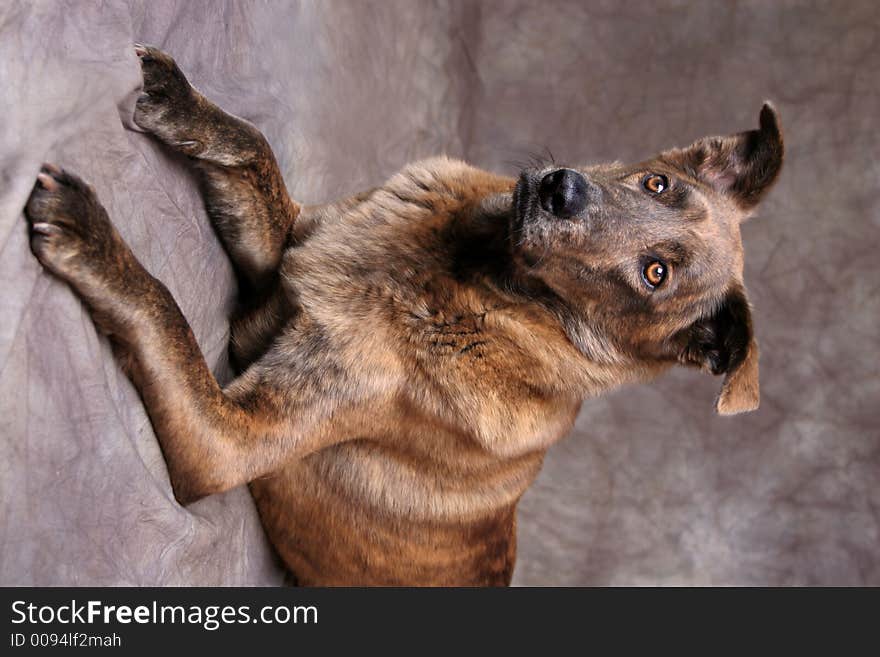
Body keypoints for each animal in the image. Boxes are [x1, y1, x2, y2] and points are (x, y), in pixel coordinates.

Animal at [24, 48, 784, 588]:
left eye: (655, 275)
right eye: (658, 183)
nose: (560, 190)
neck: (476, 279)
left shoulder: (225, 440)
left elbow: (166, 314)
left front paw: (90, 238)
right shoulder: (284, 255)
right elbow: (252, 147)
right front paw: (181, 103)